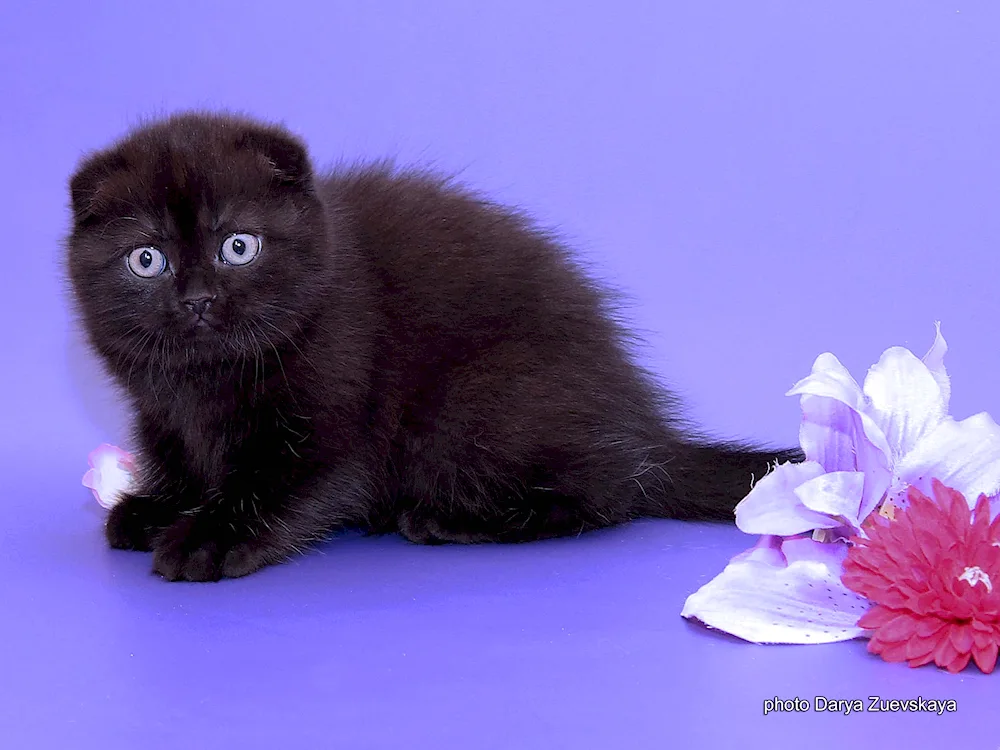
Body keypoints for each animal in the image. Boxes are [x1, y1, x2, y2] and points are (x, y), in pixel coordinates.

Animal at [64, 113, 796, 580]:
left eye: (238, 245)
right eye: (147, 259)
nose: (198, 300)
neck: (204, 381)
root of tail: (644, 426)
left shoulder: (336, 401)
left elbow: (282, 482)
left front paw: (209, 538)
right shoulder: (161, 412)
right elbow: (179, 458)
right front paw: (158, 507)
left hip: (478, 406)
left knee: (603, 496)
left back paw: (443, 520)